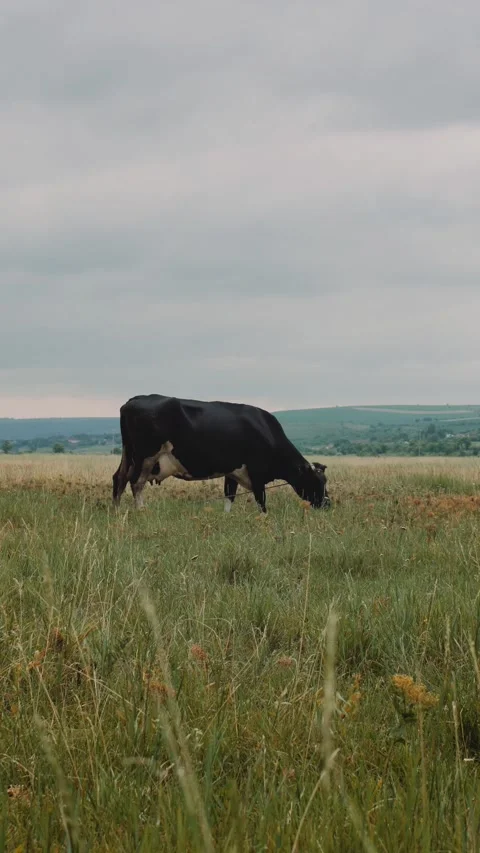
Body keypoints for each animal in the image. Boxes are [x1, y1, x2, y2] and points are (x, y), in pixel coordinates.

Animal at [112, 394, 330, 513]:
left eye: (325, 480)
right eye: (316, 481)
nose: (328, 504)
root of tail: (134, 400)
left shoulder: (232, 471)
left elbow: (229, 496)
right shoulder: (256, 473)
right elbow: (261, 502)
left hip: (129, 455)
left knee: (119, 478)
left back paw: (116, 511)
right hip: (145, 456)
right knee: (135, 482)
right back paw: (141, 511)